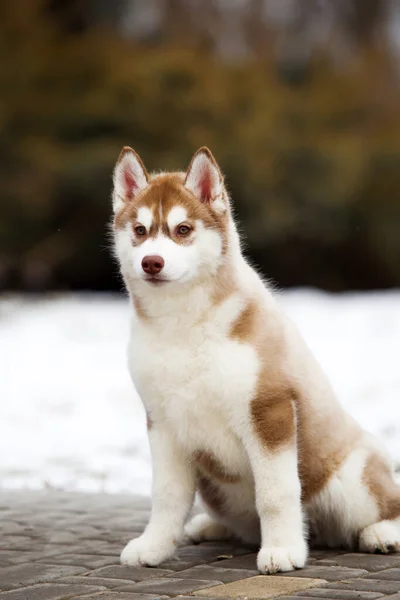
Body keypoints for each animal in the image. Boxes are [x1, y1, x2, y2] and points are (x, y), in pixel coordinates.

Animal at [110, 145, 400, 572]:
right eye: (141, 231)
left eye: (183, 230)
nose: (152, 263)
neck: (182, 325)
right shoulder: (162, 422)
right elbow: (166, 493)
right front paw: (154, 546)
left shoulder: (269, 410)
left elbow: (276, 493)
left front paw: (282, 550)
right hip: (215, 487)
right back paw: (209, 527)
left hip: (351, 481)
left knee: (384, 506)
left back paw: (381, 533)